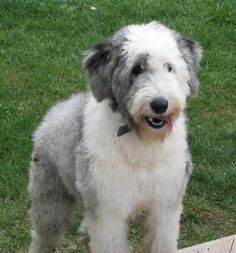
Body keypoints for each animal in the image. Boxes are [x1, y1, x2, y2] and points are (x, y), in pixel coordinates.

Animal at [27, 21, 201, 253]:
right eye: (137, 69)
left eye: (169, 67)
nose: (160, 104)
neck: (143, 143)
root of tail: (57, 110)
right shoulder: (108, 212)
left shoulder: (165, 207)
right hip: (50, 201)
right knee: (42, 237)